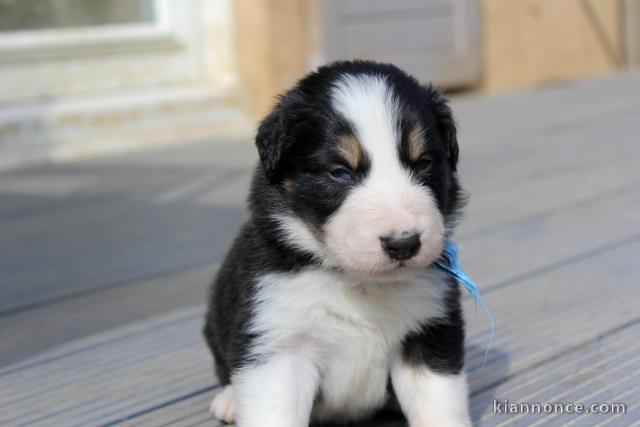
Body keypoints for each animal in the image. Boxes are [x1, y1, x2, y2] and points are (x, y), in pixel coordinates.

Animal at [205, 61, 470, 427]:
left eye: (423, 163)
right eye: (341, 173)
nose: (403, 244)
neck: (357, 283)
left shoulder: (429, 330)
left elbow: (439, 406)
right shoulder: (279, 341)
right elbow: (274, 410)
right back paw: (230, 401)